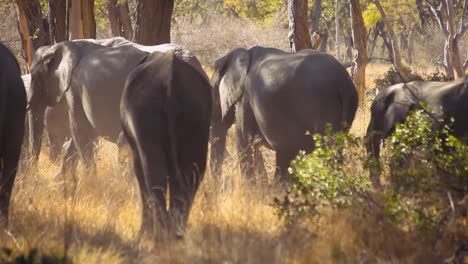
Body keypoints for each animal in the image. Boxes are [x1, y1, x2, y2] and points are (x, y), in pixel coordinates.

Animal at [121, 51, 213, 239]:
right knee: (192, 173)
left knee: (153, 172)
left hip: (144, 112)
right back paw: (175, 232)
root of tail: (171, 81)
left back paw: (159, 234)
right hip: (196, 112)